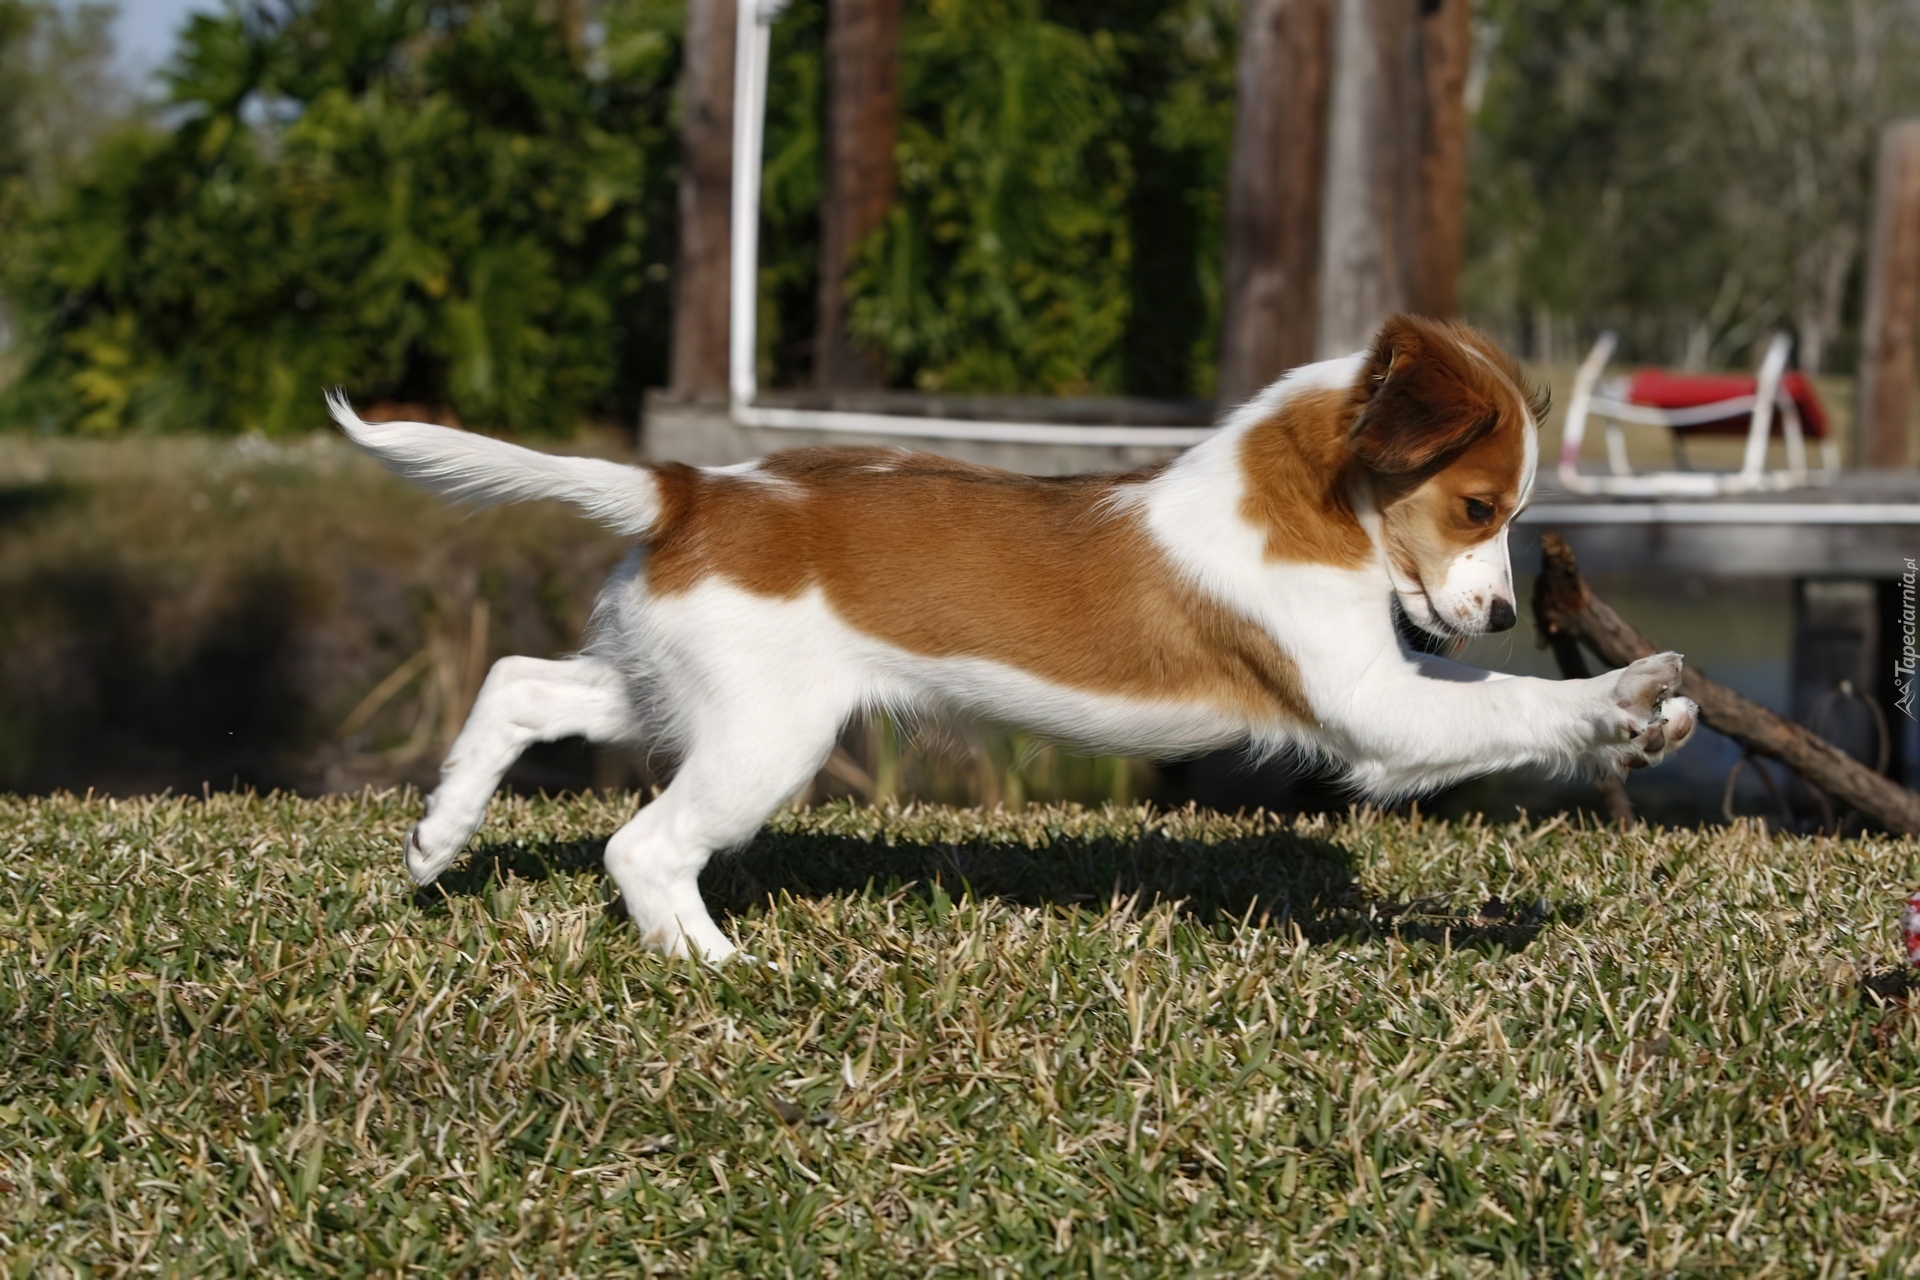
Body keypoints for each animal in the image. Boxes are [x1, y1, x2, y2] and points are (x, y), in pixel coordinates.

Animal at [330, 312, 1697, 959]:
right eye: (1480, 507)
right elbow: (1508, 703)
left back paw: (438, 835)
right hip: (767, 735)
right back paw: (721, 966)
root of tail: (692, 489)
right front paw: (1623, 698)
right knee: (643, 846)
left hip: (679, 680)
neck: (1303, 502)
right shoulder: (1377, 708)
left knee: (519, 680)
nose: (1508, 611)